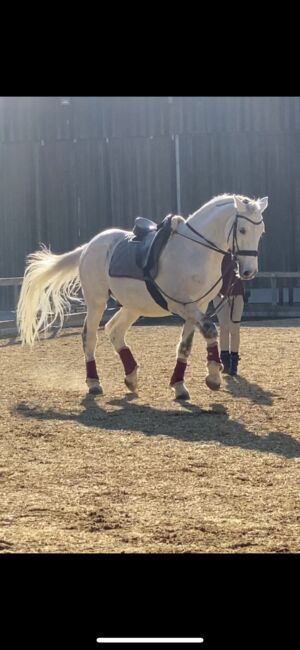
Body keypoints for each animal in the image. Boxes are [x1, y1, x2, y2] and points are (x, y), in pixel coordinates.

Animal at [17, 192, 268, 398]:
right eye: (243, 230)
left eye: (261, 232)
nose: (248, 272)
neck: (195, 250)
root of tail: (89, 246)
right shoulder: (183, 305)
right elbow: (210, 330)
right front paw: (214, 377)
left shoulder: (200, 304)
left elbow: (185, 346)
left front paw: (179, 386)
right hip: (97, 302)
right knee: (90, 337)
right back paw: (94, 383)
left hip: (133, 306)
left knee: (114, 331)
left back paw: (131, 377)